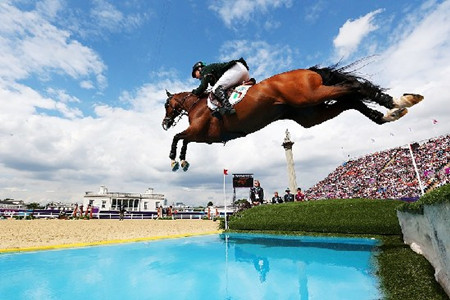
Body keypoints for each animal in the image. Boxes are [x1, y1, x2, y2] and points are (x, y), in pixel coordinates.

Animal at [162, 64, 422, 171]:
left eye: (166, 105)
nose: (164, 124)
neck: (195, 105)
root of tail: (309, 71)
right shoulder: (203, 137)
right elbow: (184, 139)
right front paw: (182, 161)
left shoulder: (200, 132)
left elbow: (178, 137)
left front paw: (174, 160)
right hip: (310, 114)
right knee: (350, 101)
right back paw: (387, 114)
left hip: (311, 96)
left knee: (354, 87)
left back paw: (396, 102)